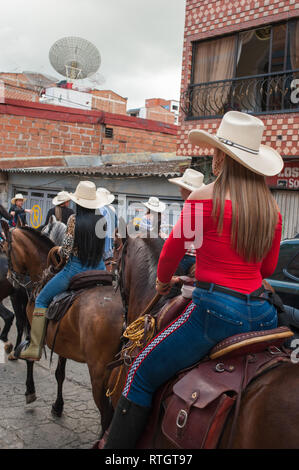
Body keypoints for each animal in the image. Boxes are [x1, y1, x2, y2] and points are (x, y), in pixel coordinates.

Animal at [3, 226, 123, 436]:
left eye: (5, 248)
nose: (11, 278)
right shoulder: (62, 341)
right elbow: (60, 373)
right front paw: (58, 406)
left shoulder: (36, 333)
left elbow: (30, 358)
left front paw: (30, 391)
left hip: (100, 374)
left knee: (106, 413)